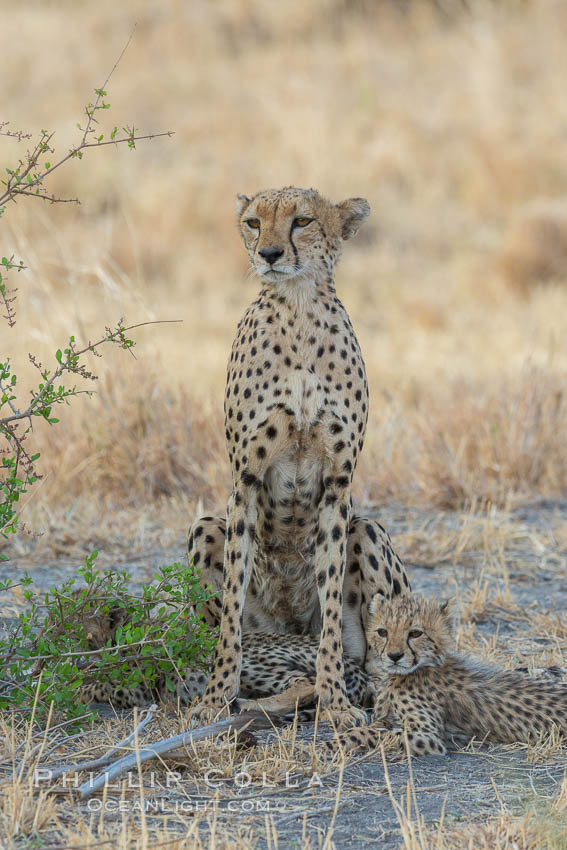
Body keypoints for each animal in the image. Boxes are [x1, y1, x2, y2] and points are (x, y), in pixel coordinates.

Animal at [189, 184, 410, 724]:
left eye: (303, 221)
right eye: (253, 222)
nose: (269, 253)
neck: (298, 309)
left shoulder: (337, 484)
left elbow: (331, 611)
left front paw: (335, 701)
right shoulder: (245, 479)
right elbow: (230, 612)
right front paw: (215, 697)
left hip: (366, 530)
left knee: (373, 657)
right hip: (205, 529)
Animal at [322, 592, 567, 752]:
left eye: (415, 633)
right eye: (382, 632)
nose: (394, 656)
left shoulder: (428, 737)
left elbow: (372, 733)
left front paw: (329, 745)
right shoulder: (387, 719)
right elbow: (374, 726)